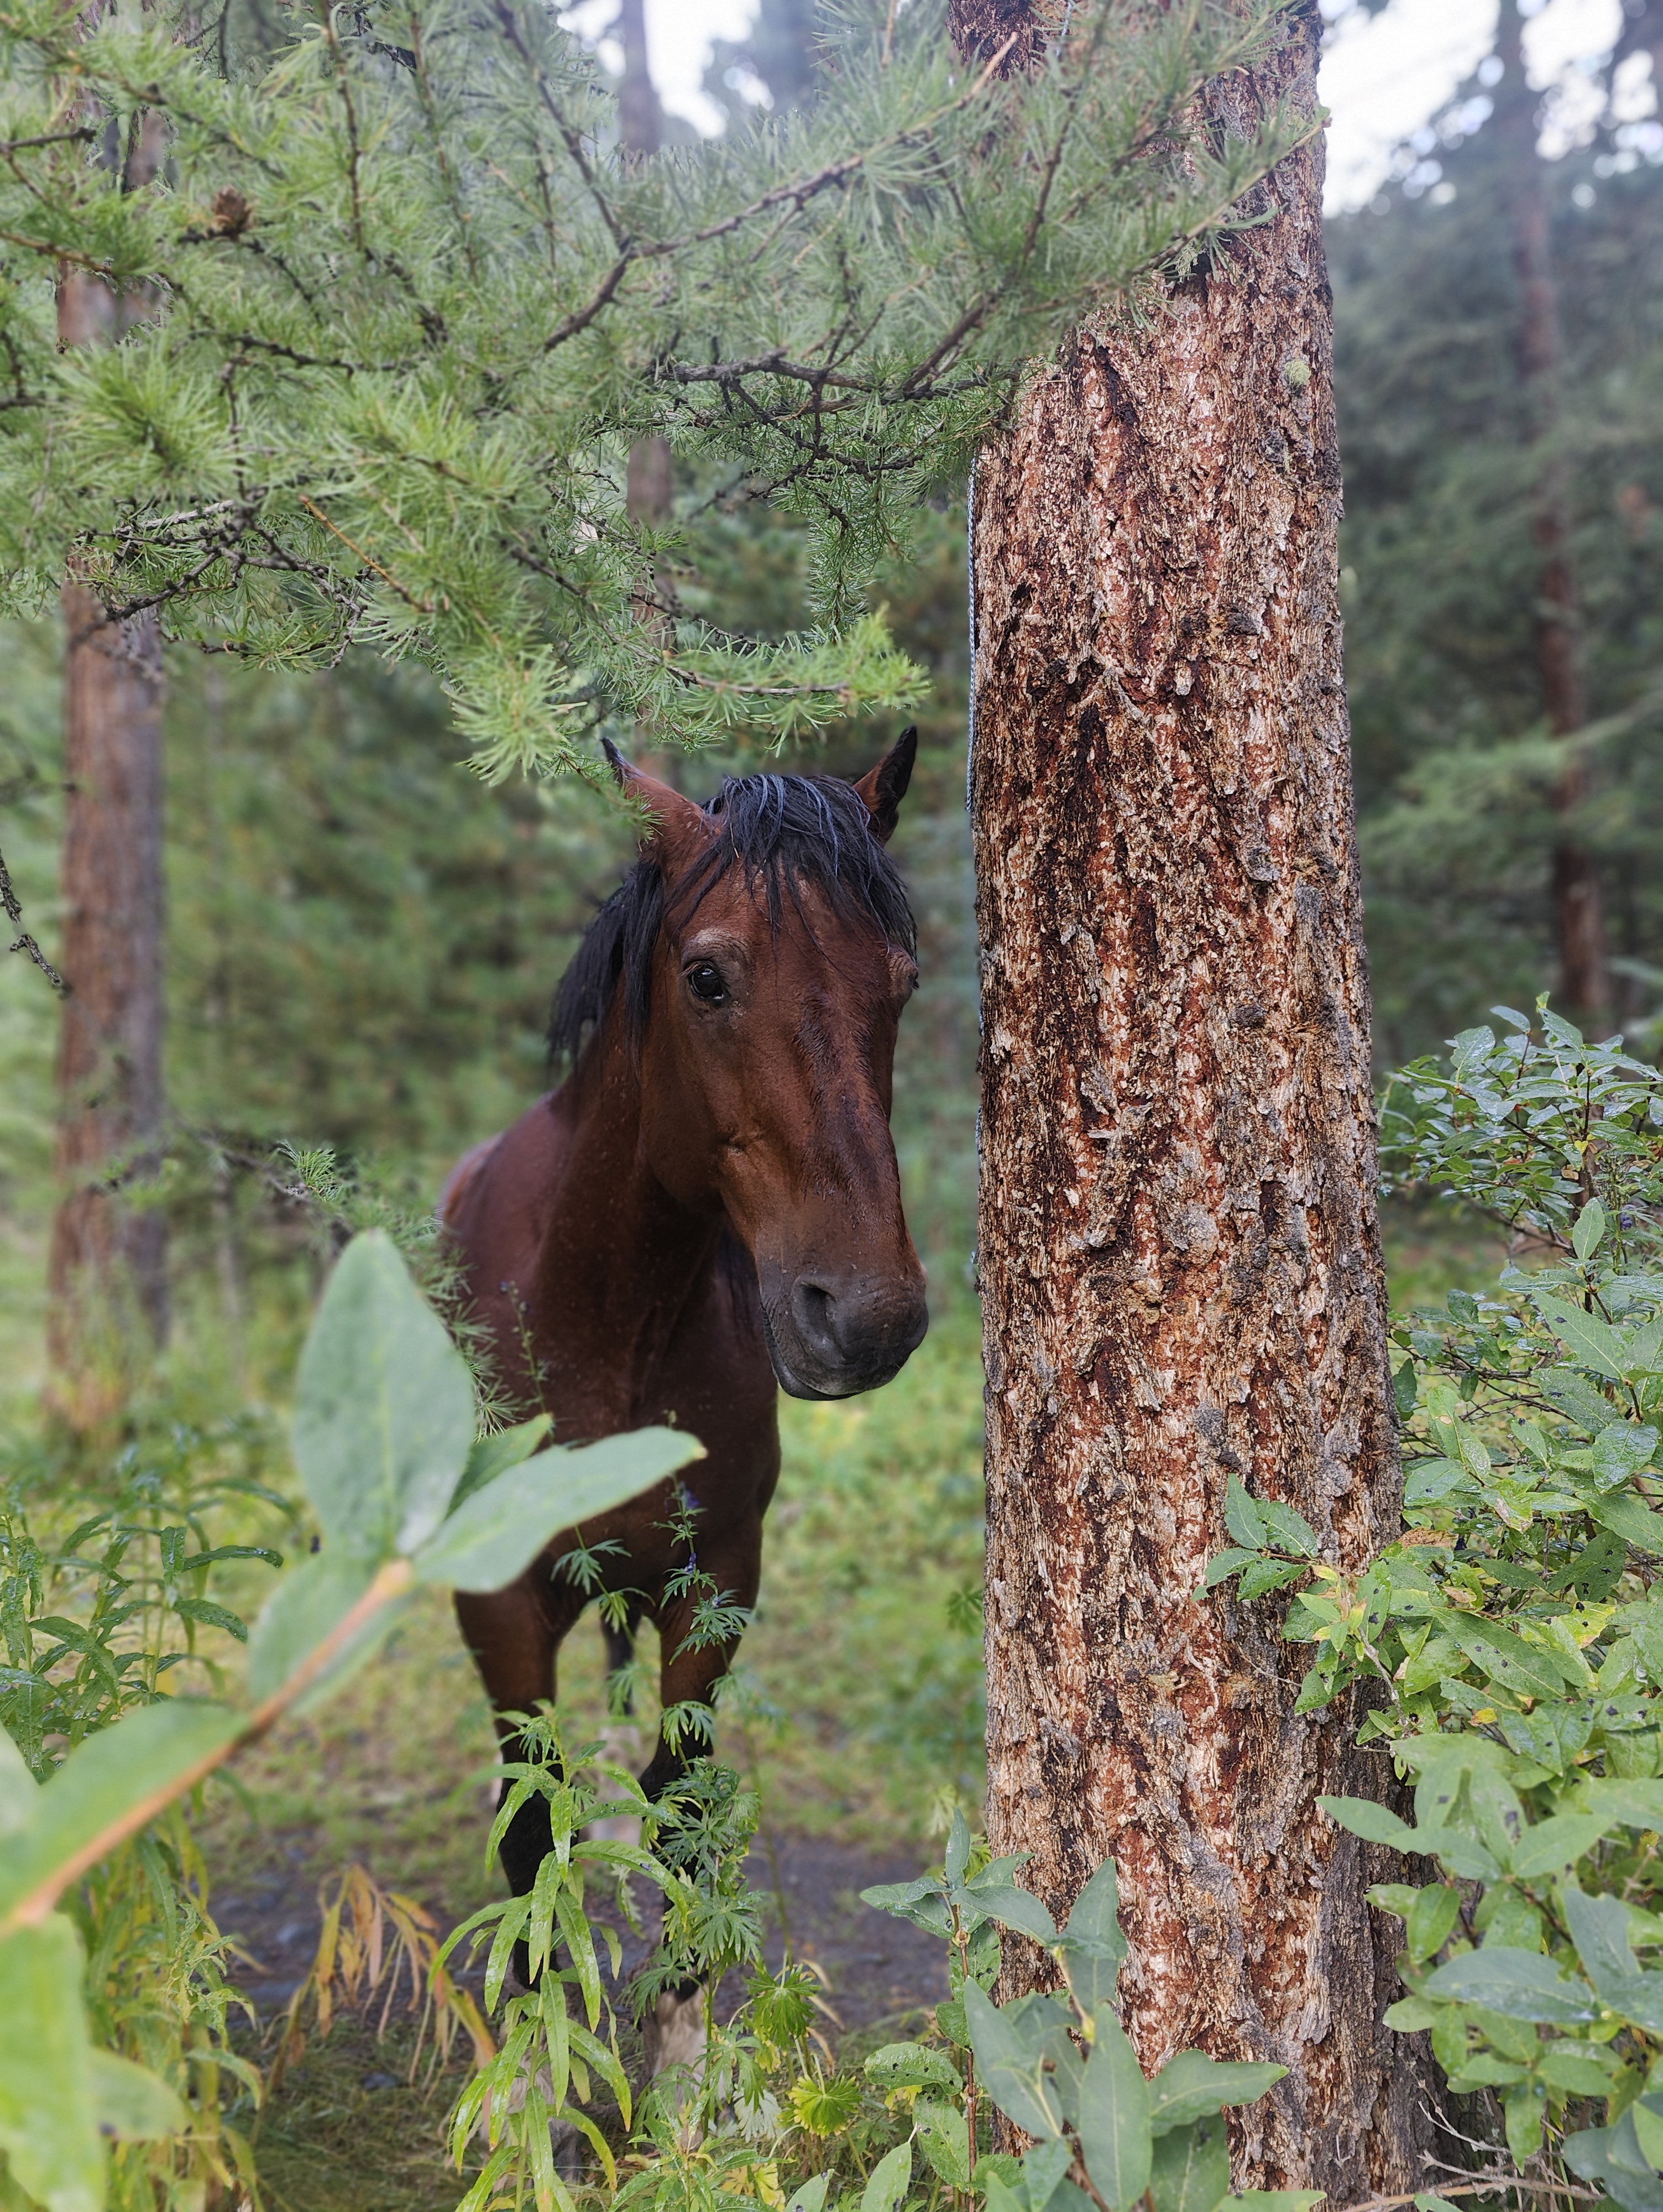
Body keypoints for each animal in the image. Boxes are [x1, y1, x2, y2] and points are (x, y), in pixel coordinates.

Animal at [442, 734, 929, 1911]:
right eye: (707, 977)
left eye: (901, 982)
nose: (868, 1317)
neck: (602, 1320)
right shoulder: (502, 1614)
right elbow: (531, 1840)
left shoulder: (716, 1588)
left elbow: (681, 1818)